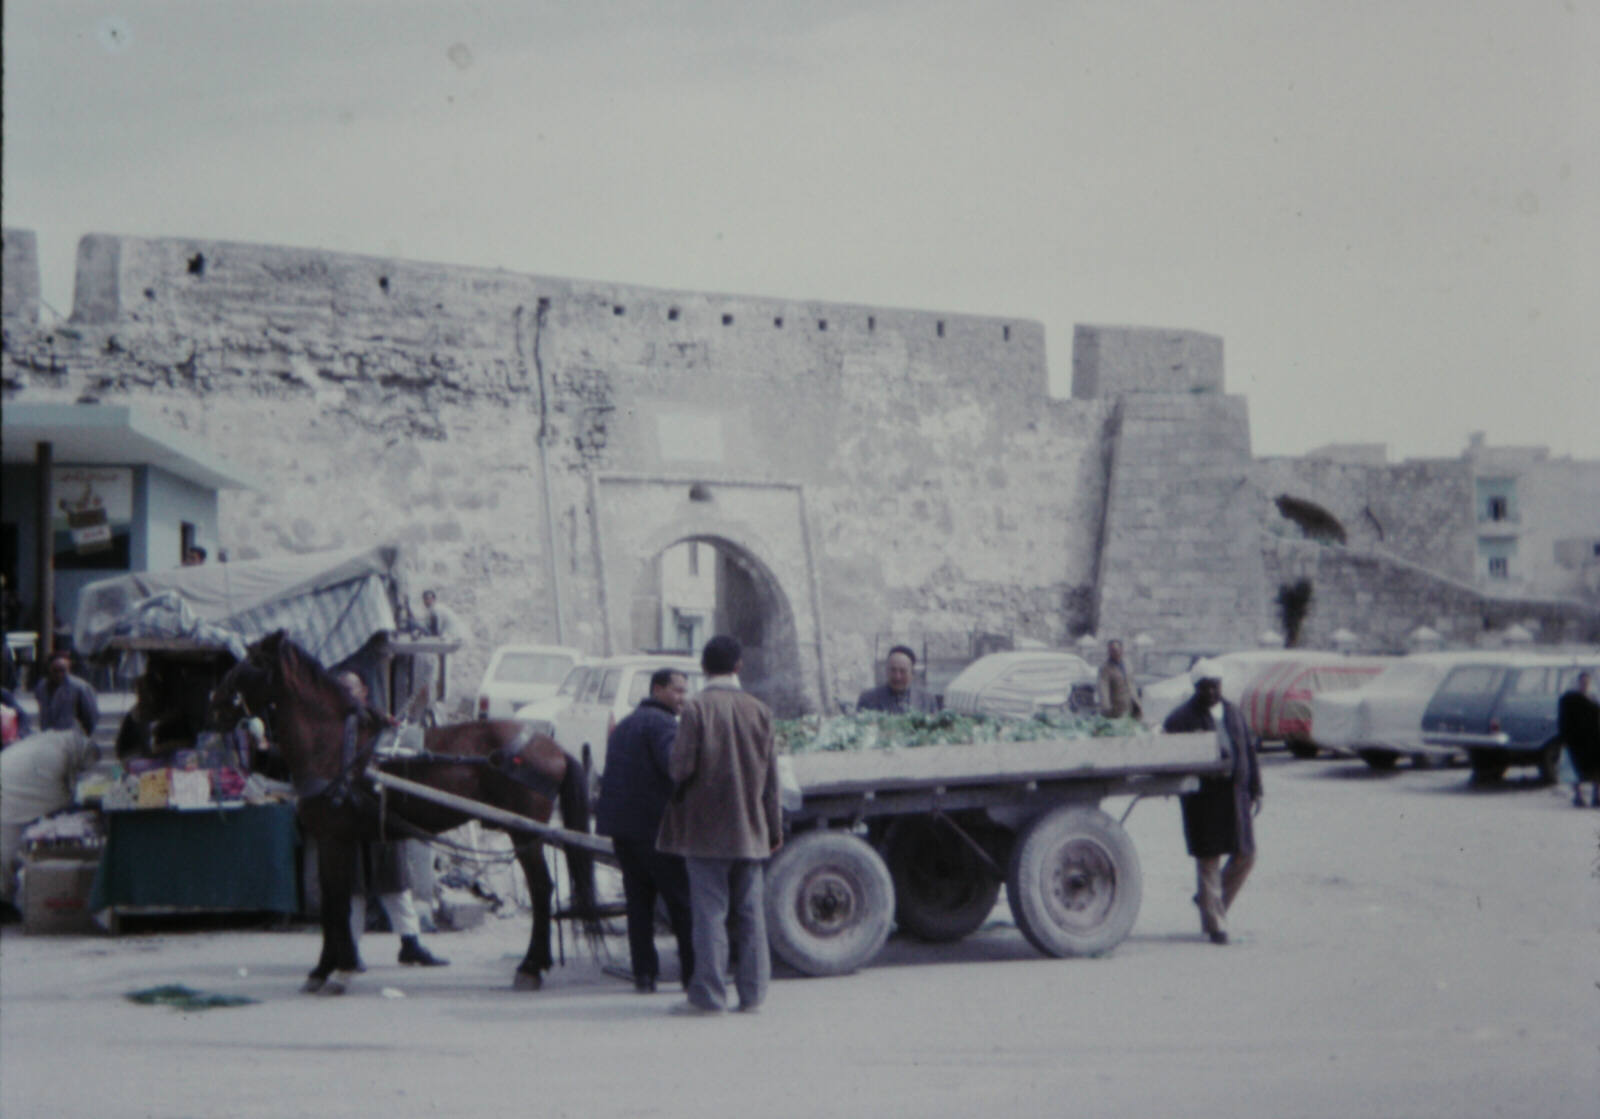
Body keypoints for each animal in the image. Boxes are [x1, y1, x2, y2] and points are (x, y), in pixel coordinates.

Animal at [206, 633, 595, 992]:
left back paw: (531, 966)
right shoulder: (339, 840)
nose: (215, 701)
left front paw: (332, 969)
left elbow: (335, 904)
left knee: (542, 889)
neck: (338, 747)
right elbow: (337, 901)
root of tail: (552, 745)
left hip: (525, 832)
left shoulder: (333, 838)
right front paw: (333, 966)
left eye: (253, 661)